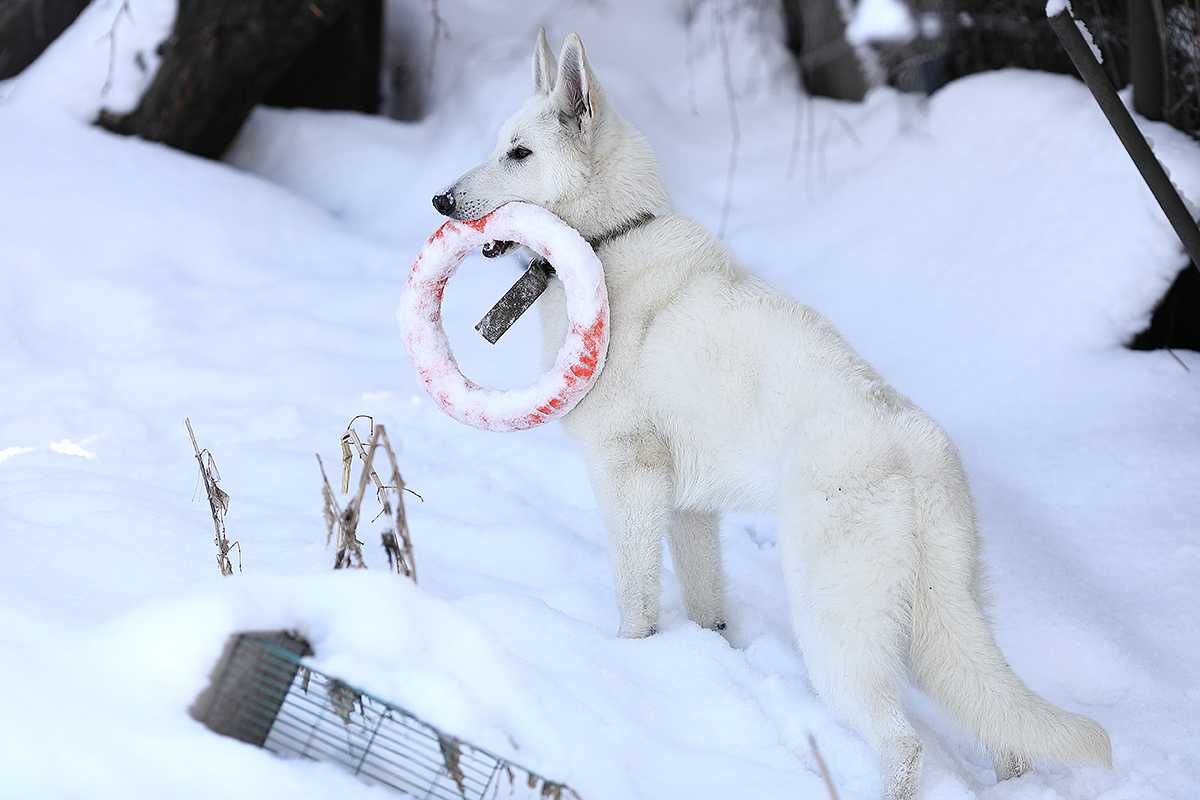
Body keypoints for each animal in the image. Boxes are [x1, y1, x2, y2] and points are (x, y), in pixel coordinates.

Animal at [434, 28, 1113, 796]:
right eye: (497, 146)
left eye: (519, 154)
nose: (441, 200)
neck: (611, 241)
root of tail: (913, 448)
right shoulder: (690, 510)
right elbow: (707, 605)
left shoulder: (629, 482)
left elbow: (635, 602)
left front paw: (629, 662)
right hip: (946, 624)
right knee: (1001, 730)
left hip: (836, 624)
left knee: (903, 742)